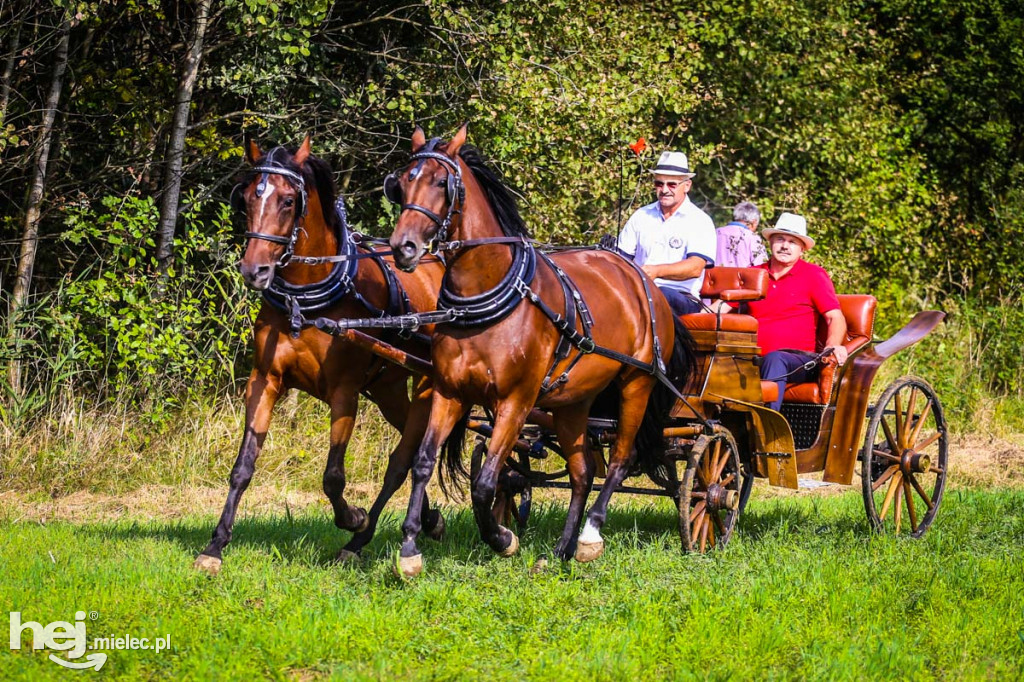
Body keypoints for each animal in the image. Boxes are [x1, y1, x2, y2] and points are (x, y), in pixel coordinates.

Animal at [192, 135, 444, 569]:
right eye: (246, 197)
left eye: (288, 200)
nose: (254, 271)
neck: (306, 297)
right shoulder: (265, 380)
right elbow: (243, 466)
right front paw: (215, 546)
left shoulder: (344, 391)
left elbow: (333, 476)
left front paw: (354, 517)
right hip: (388, 390)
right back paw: (426, 521)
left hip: (429, 383)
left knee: (406, 457)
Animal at [385, 123, 696, 573]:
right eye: (403, 183)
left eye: (442, 183)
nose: (403, 247)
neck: (487, 295)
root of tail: (642, 279)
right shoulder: (450, 391)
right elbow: (424, 462)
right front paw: (410, 549)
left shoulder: (516, 401)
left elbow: (485, 482)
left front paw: (502, 538)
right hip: (574, 401)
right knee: (583, 471)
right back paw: (563, 548)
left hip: (636, 384)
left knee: (620, 460)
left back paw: (589, 536)